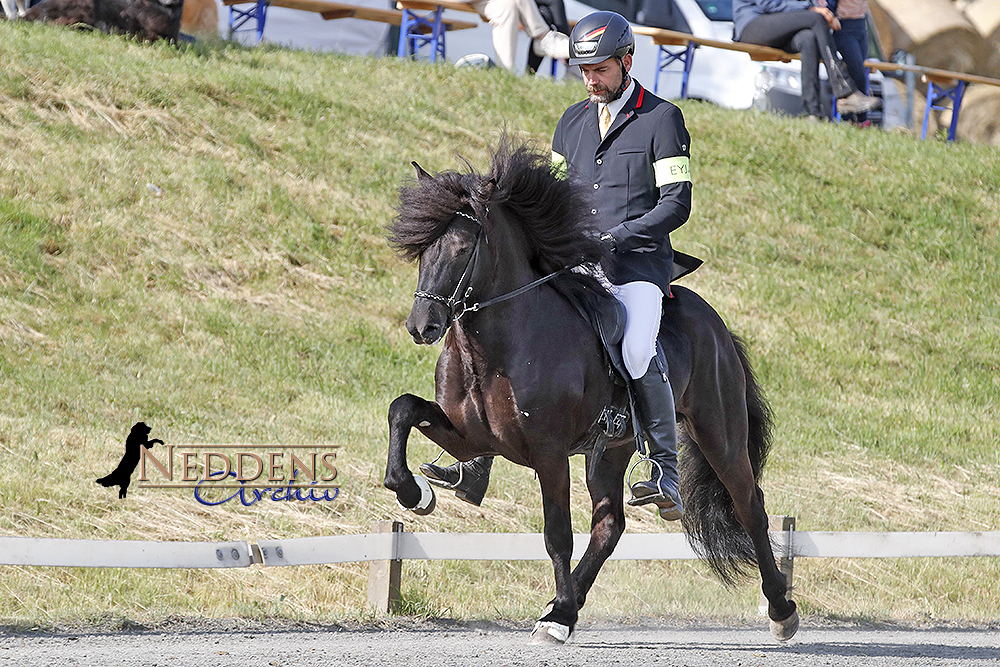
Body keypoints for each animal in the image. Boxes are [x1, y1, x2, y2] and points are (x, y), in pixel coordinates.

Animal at [382, 138, 796, 644]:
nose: (421, 327)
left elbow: (557, 533)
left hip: (720, 434)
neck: (496, 343)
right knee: (609, 524)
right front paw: (412, 491)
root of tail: (715, 324)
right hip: (612, 449)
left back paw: (780, 609)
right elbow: (402, 409)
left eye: (462, 247)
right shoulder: (469, 437)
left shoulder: (548, 451)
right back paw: (566, 604)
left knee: (750, 506)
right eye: (422, 250)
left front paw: (558, 616)